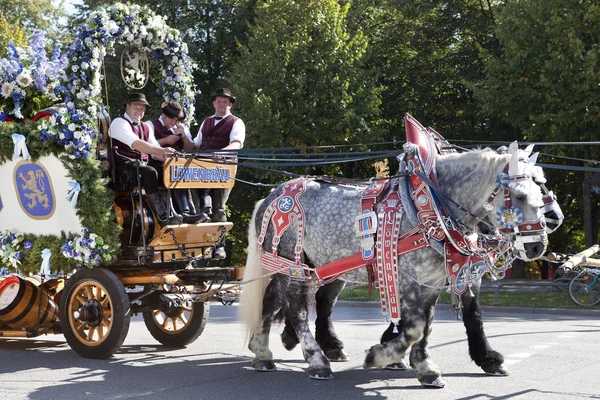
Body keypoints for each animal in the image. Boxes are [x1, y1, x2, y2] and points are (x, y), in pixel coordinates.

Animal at [239, 141, 552, 388]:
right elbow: (414, 326)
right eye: (520, 195)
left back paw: (262, 352)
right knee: (298, 308)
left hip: (305, 266)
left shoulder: (432, 281)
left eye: (542, 193)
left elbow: (427, 324)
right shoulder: (407, 278)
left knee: (274, 301)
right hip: (294, 264)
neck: (429, 207)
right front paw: (381, 355)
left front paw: (425, 367)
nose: (537, 246)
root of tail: (271, 196)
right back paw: (316, 360)